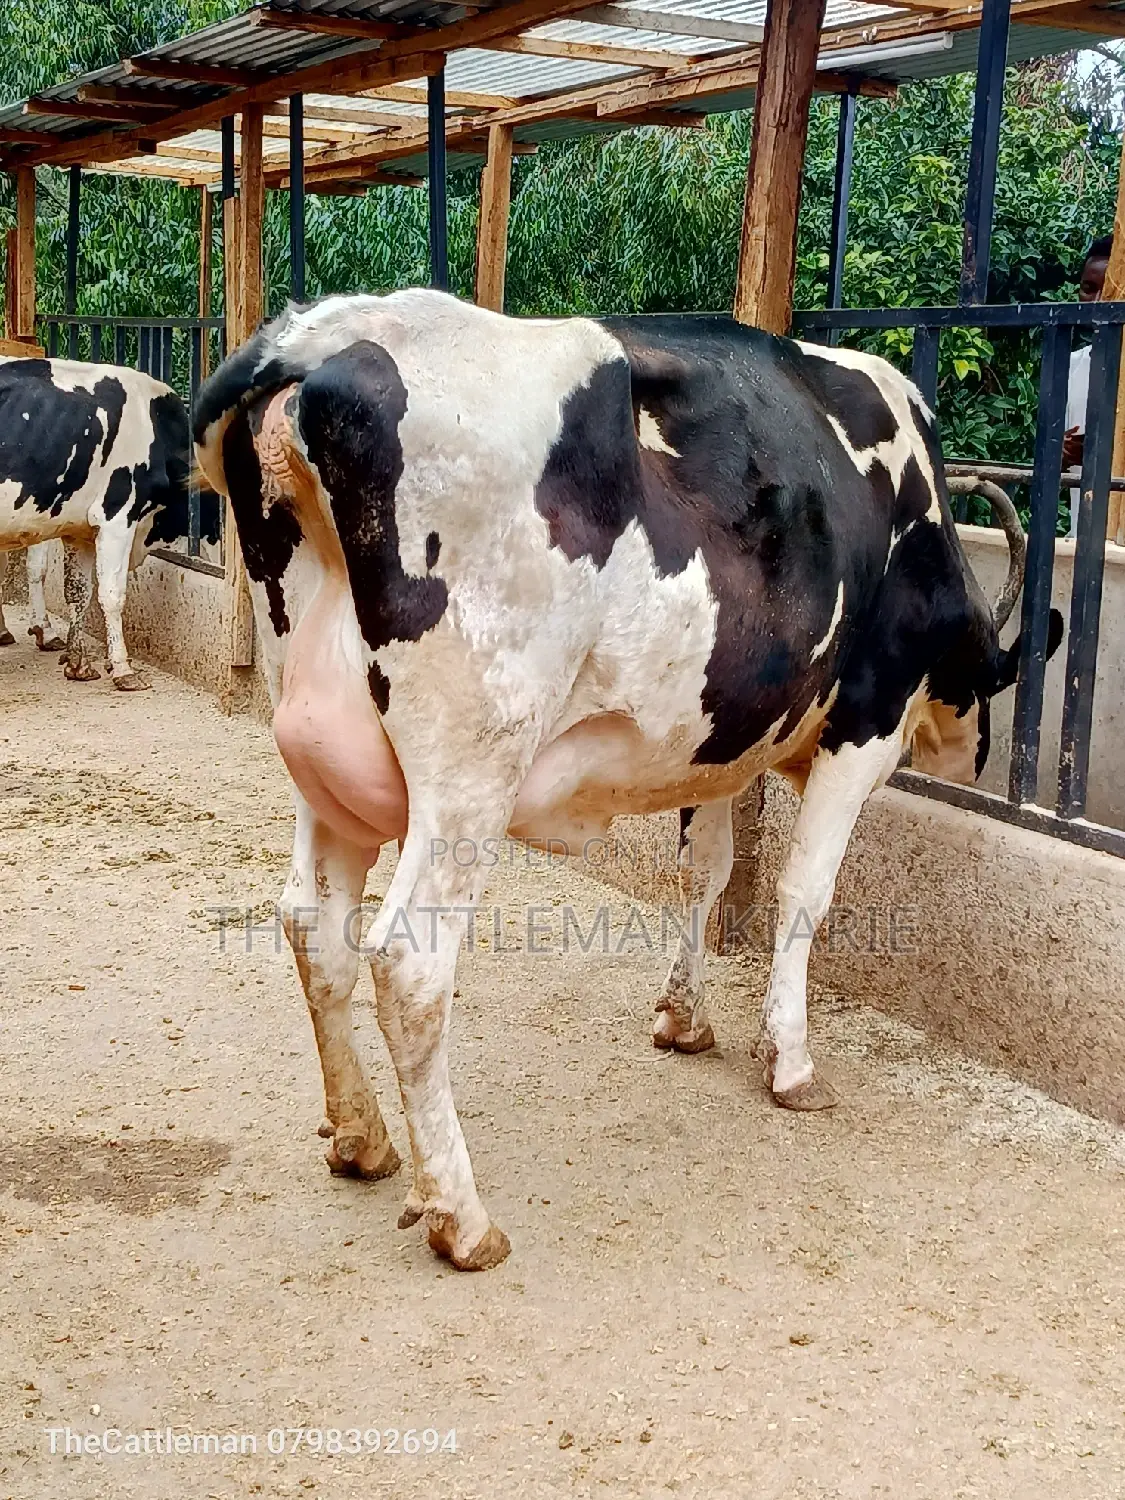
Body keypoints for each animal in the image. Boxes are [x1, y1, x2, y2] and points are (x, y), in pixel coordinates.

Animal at [0, 356, 219, 687]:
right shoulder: (117, 517)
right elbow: (111, 594)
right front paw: (123, 669)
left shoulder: (79, 530)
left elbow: (78, 591)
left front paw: (78, 664)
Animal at [194, 290, 1063, 1272]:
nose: (971, 756)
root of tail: (320, 337)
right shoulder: (864, 723)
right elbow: (803, 889)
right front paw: (790, 1061)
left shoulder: (718, 740)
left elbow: (706, 873)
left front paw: (684, 1019)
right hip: (470, 765)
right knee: (410, 962)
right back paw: (462, 1216)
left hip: (320, 755)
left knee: (314, 929)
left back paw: (361, 1138)